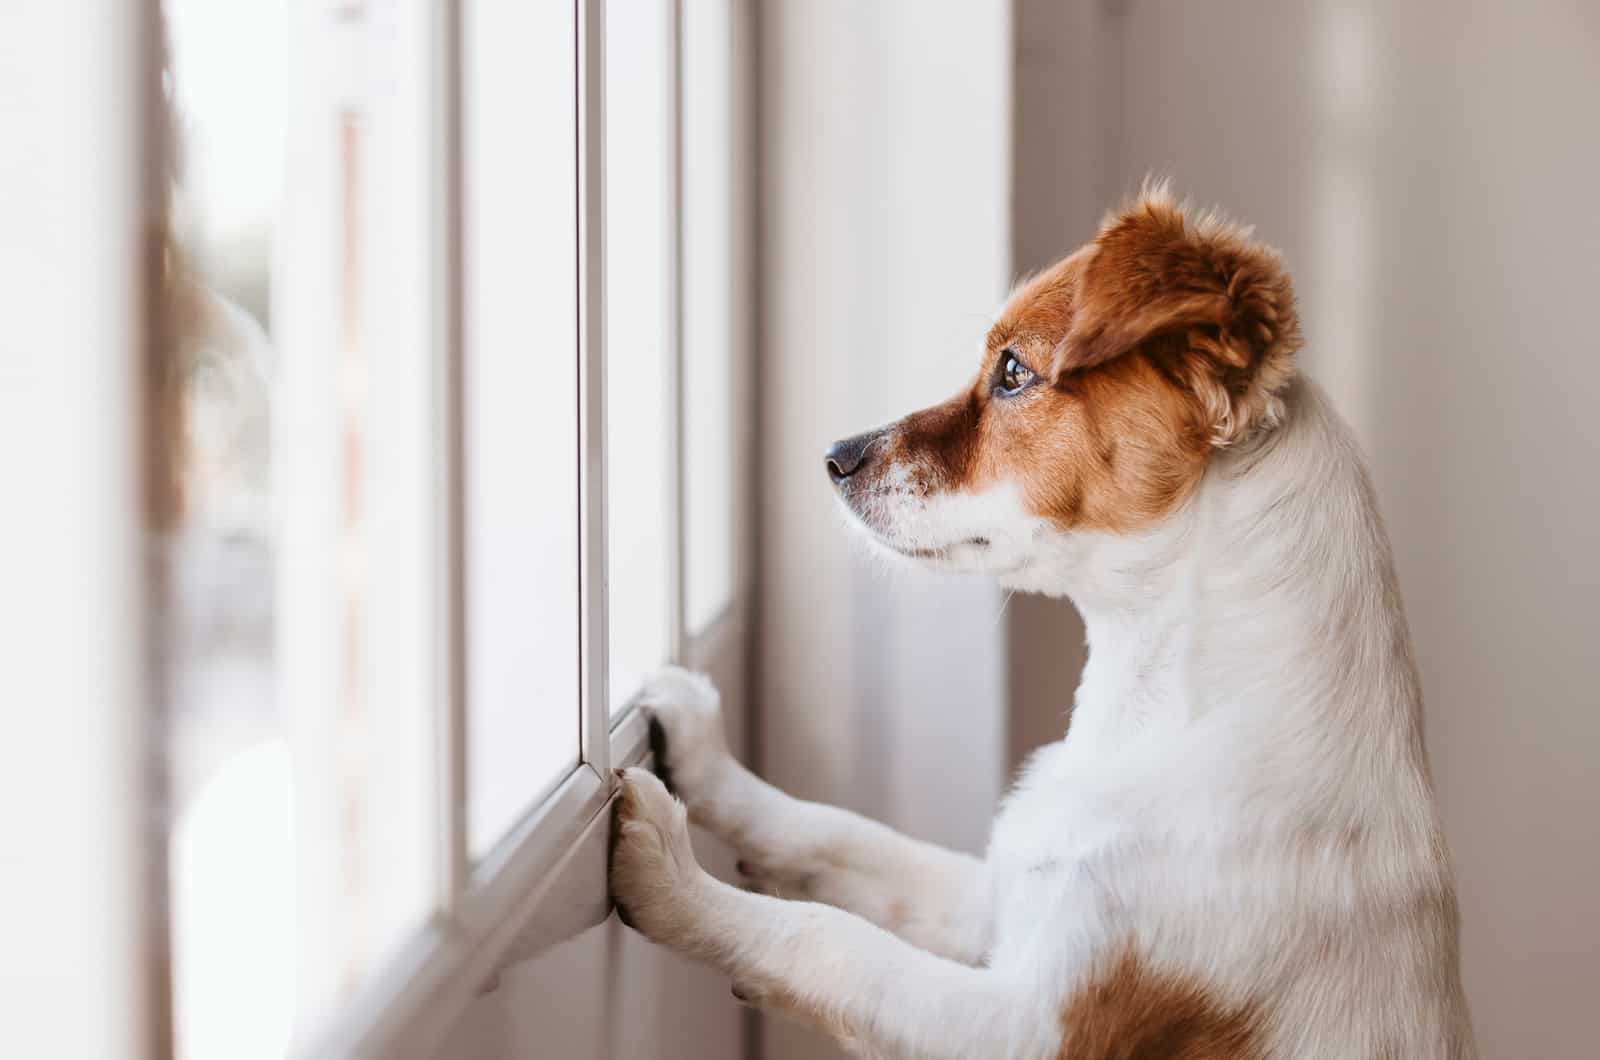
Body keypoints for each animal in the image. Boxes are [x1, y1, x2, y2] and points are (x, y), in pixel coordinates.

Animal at [608, 186, 1472, 1056]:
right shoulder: (996, 901)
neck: (1156, 715)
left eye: (1014, 372)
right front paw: (705, 754)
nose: (834, 457)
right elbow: (835, 833)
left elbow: (830, 940)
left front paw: (673, 879)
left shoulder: (1029, 1027)